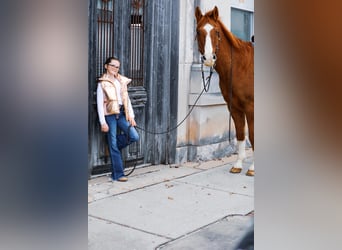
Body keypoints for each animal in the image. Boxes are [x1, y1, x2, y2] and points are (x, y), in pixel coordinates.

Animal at [195, 6, 254, 178]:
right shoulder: (234, 107)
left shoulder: (251, 108)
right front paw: (238, 165)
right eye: (198, 31)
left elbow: (253, 135)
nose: (209, 58)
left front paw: (252, 168)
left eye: (216, 31)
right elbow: (240, 134)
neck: (240, 66)